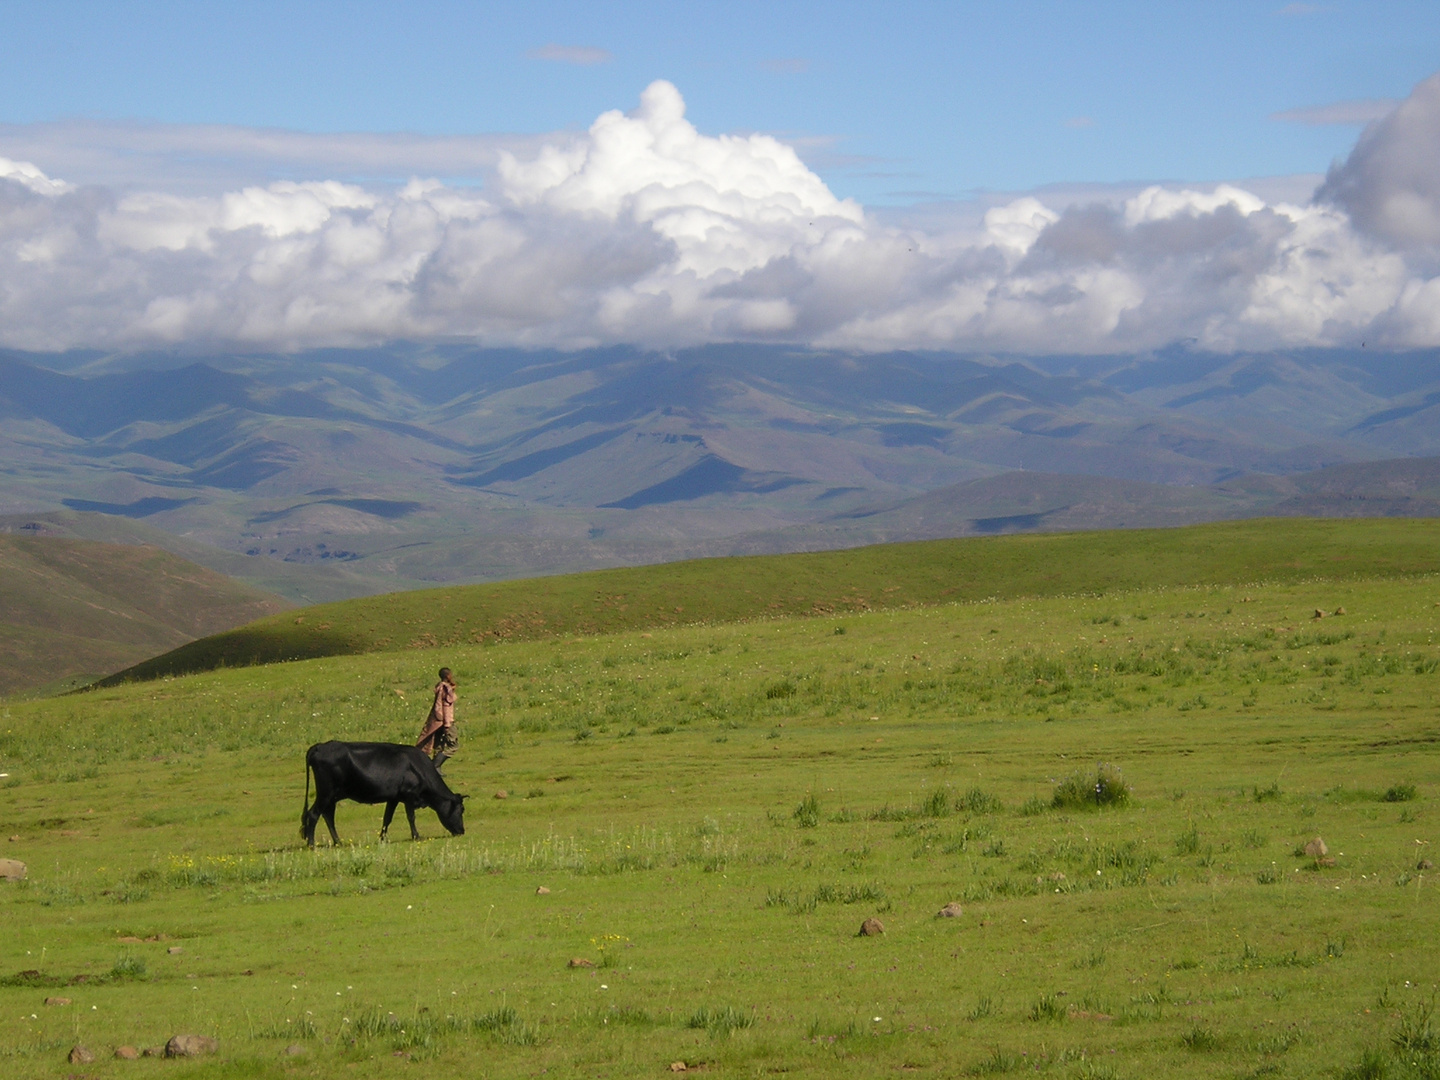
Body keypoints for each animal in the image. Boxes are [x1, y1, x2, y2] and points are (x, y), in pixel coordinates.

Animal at [299, 743, 466, 852]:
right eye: (461, 810)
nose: (462, 831)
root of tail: (319, 746)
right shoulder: (409, 795)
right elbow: (411, 817)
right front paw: (416, 836)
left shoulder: (394, 798)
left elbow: (387, 818)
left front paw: (382, 838)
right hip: (325, 793)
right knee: (313, 814)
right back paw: (312, 845)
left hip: (331, 796)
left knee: (328, 816)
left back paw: (338, 842)